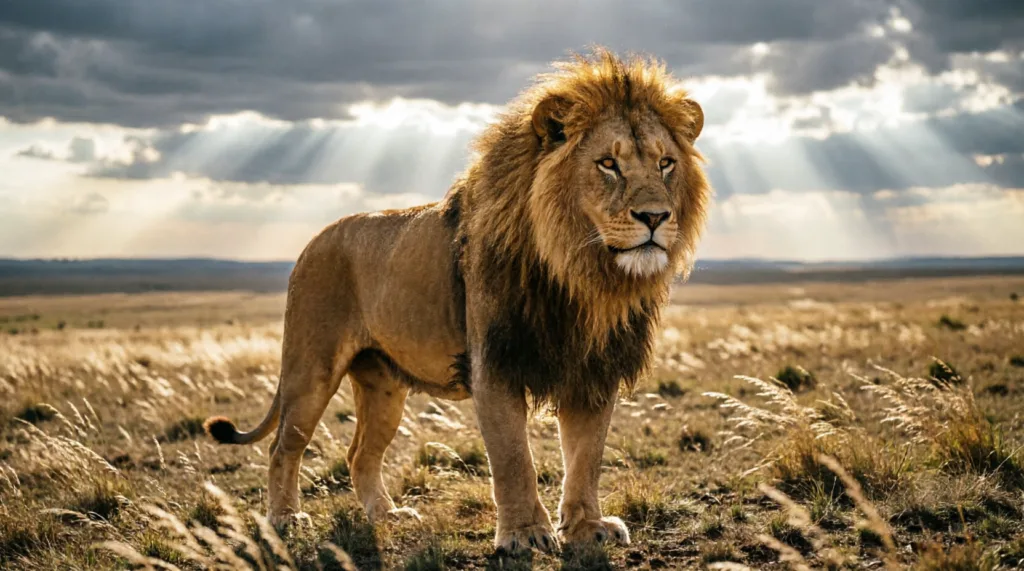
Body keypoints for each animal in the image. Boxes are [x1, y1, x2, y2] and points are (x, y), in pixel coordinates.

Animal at [203, 47, 711, 554]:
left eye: (666, 164)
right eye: (608, 164)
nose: (655, 216)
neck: (581, 275)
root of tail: (312, 241)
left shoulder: (593, 369)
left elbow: (586, 457)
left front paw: (587, 526)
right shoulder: (495, 365)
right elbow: (513, 459)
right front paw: (525, 535)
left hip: (383, 385)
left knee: (359, 453)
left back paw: (388, 515)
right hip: (310, 370)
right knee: (283, 446)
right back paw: (286, 519)